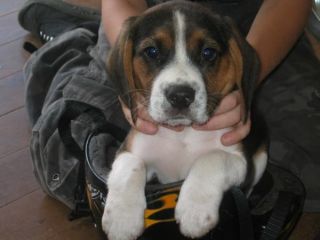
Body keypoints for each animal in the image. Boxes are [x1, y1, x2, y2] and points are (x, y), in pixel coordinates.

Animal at [103, 1, 268, 240]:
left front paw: (195, 210)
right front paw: (122, 219)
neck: (183, 132)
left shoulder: (239, 161)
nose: (180, 95)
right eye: (151, 52)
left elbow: (211, 158)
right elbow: (130, 167)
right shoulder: (129, 149)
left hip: (261, 160)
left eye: (208, 53)